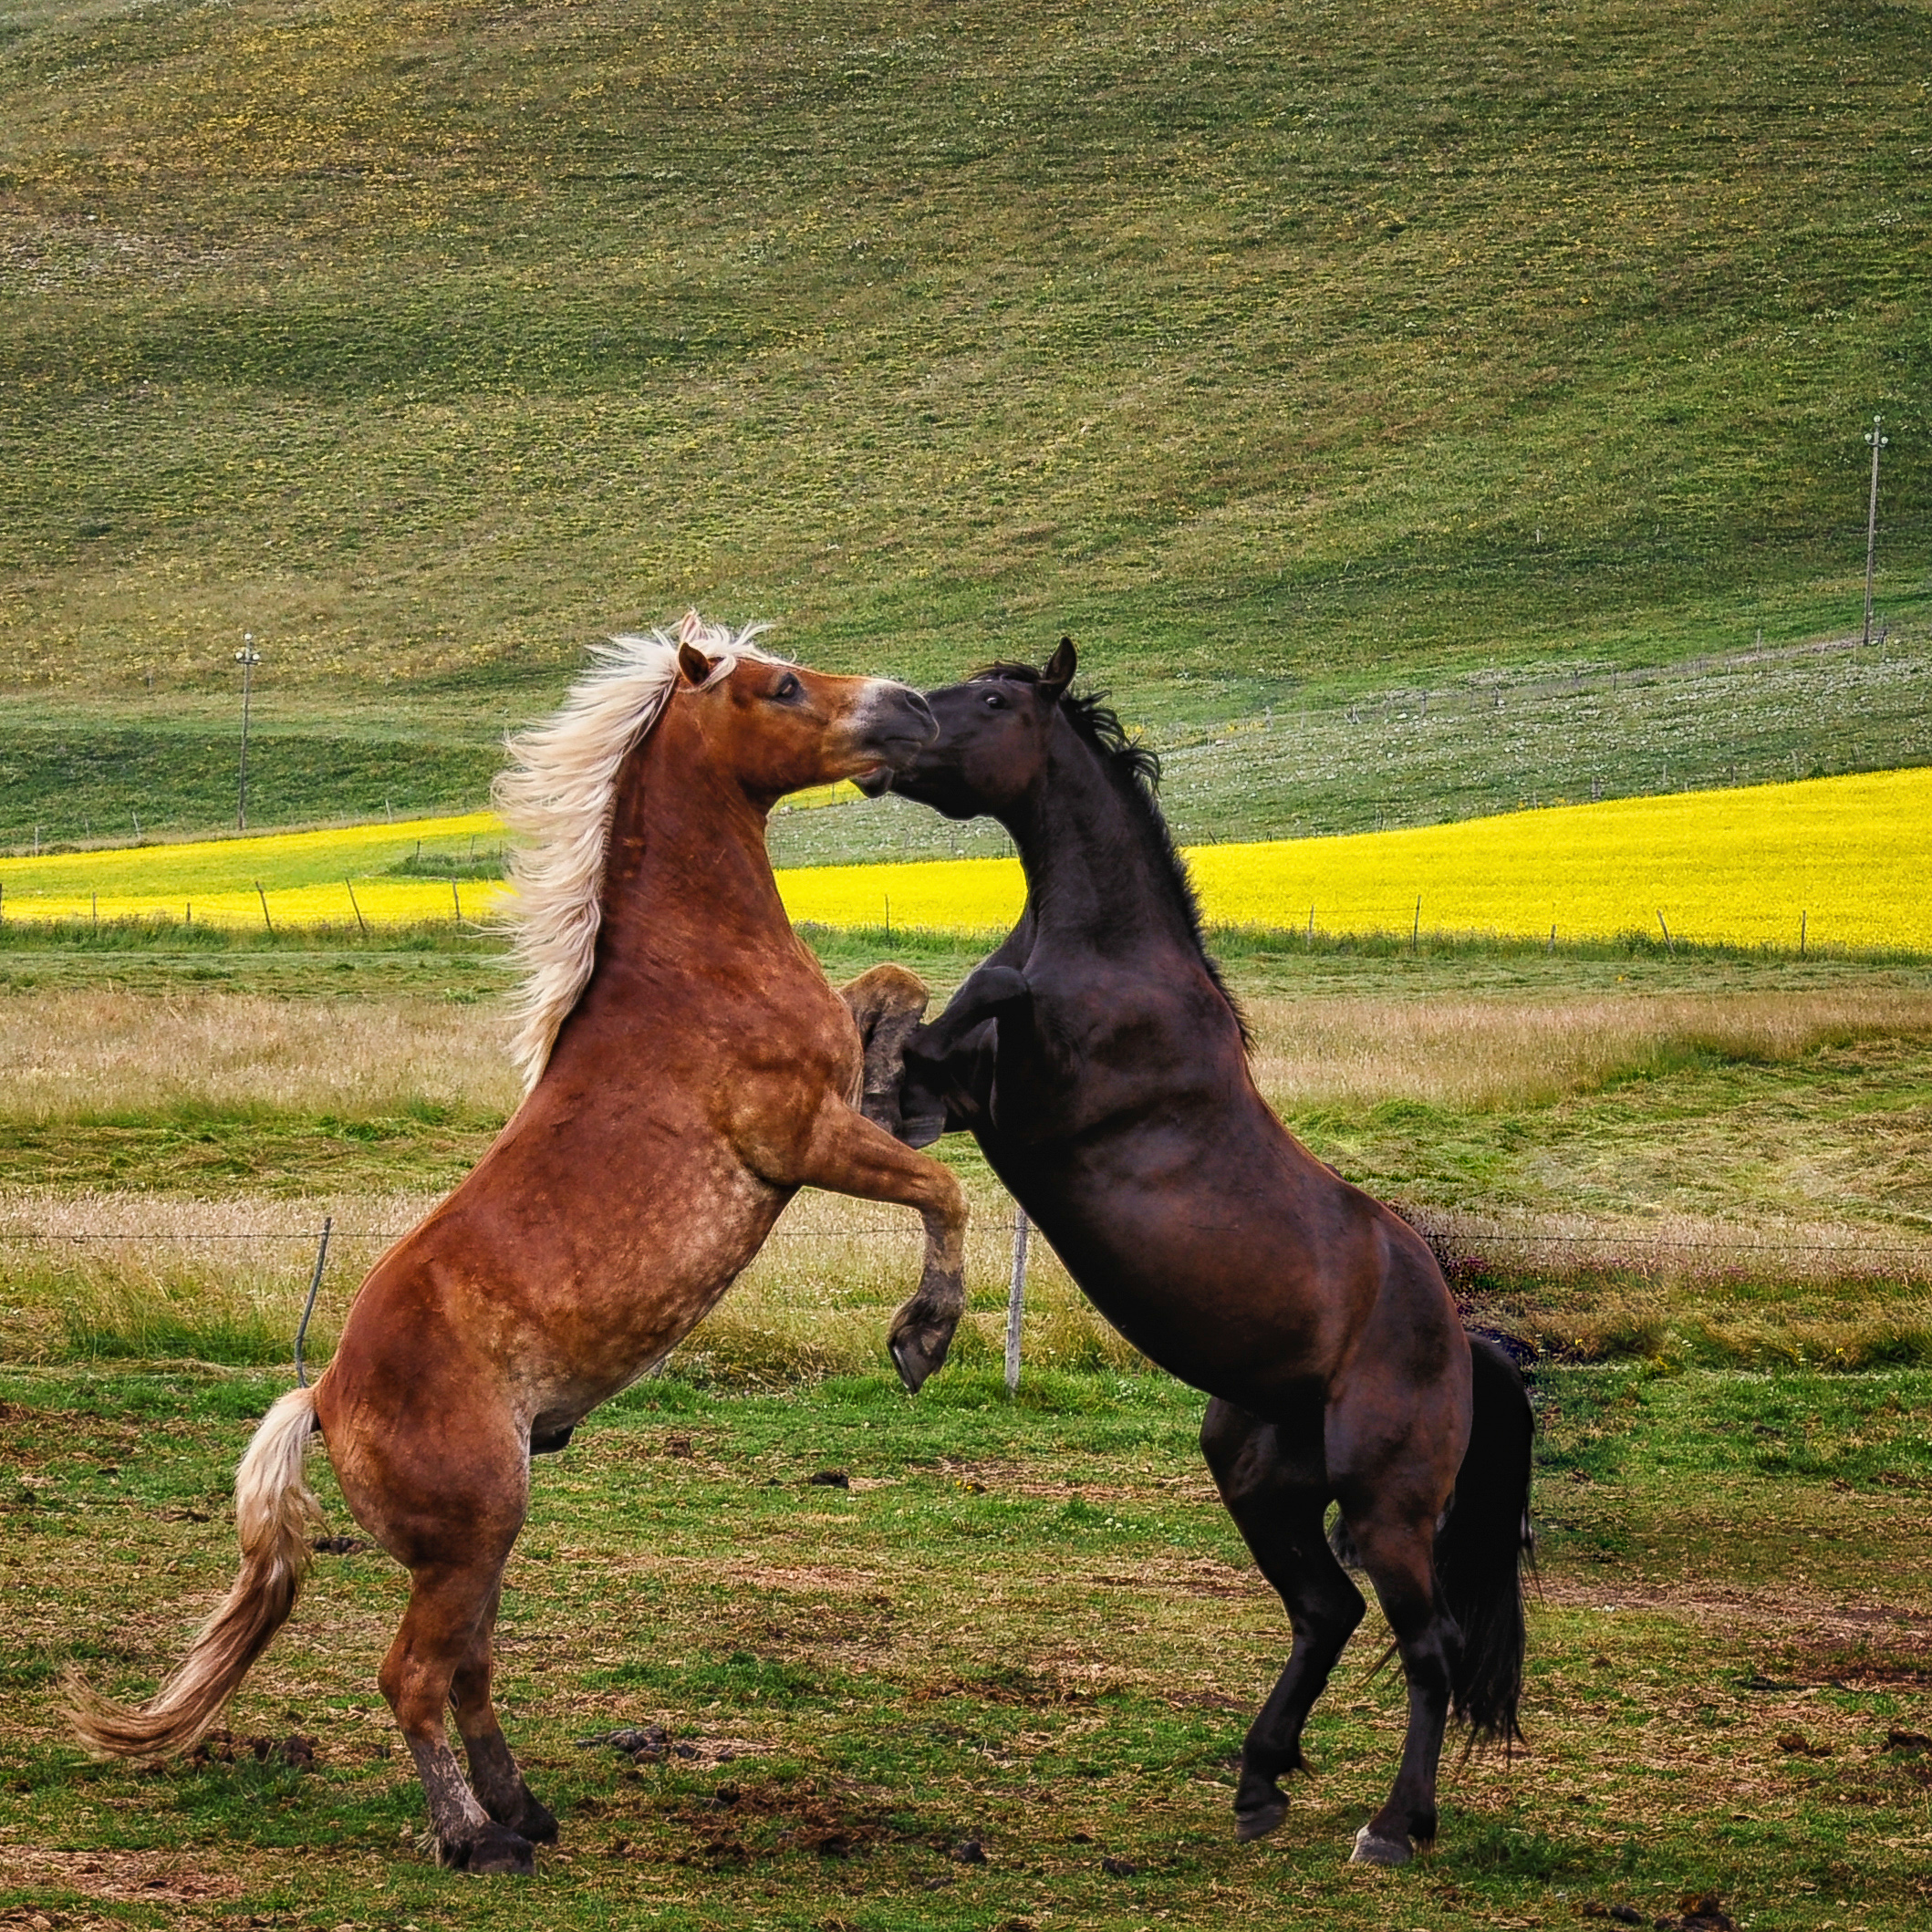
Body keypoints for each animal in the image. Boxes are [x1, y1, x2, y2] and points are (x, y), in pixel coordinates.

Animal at [68, 614, 973, 1870]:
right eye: (784, 686)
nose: (914, 709)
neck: (691, 971)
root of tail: (321, 1397)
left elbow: (894, 986)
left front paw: (918, 1077)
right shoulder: (802, 1141)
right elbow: (942, 1190)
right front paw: (922, 1336)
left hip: (483, 1545)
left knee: (469, 1673)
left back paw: (524, 1809)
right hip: (472, 1536)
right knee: (411, 1676)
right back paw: (472, 1836)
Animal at [869, 641, 1530, 1862]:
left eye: (991, 700)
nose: (888, 729)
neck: (1110, 958)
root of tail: (1464, 1343)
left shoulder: (1041, 1094)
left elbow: (985, 991)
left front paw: (921, 1333)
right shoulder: (969, 1102)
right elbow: (919, 1041)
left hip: (1386, 1501)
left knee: (1428, 1649)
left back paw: (1394, 1826)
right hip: (1256, 1473)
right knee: (1327, 1612)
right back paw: (1261, 1783)